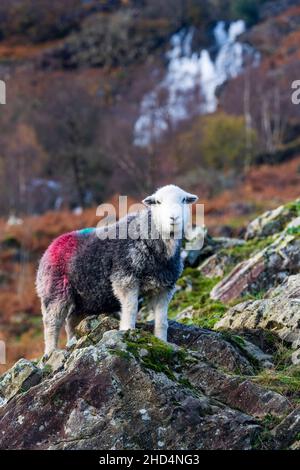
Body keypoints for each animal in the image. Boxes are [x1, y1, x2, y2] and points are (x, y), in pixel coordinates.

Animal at [36, 184, 198, 352]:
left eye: (184, 200)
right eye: (158, 202)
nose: (174, 218)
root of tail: (53, 244)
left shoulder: (164, 288)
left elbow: (162, 321)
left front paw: (162, 342)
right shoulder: (126, 279)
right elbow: (131, 309)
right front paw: (128, 332)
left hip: (83, 298)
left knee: (71, 321)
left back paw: (72, 343)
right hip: (55, 291)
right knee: (52, 323)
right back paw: (51, 352)